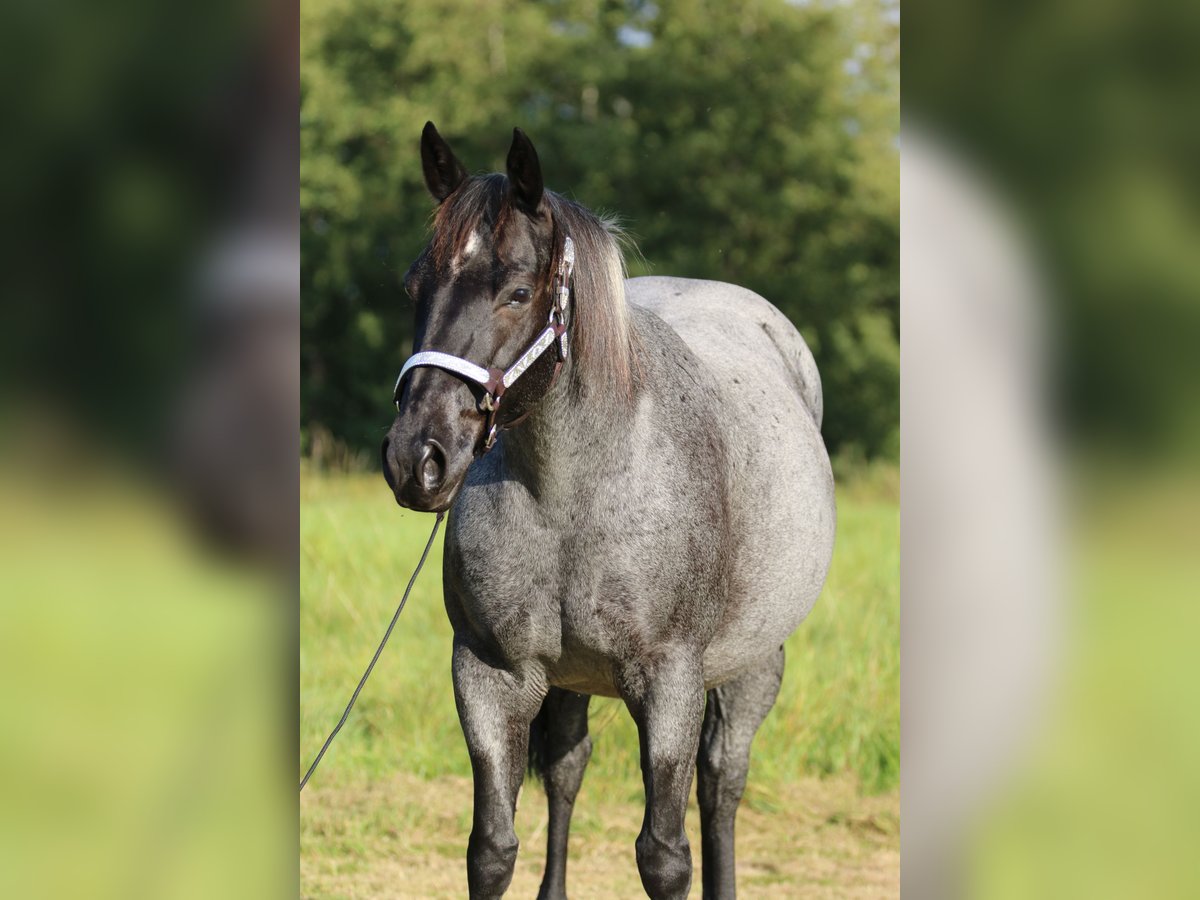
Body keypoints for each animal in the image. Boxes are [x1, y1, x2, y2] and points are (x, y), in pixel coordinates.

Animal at [384, 121, 835, 900]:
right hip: (570, 679)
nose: (418, 458)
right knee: (569, 769)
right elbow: (491, 849)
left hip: (754, 663)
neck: (572, 497)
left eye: (518, 291)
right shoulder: (490, 673)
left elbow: (664, 855)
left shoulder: (669, 681)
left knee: (721, 781)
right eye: (417, 285)